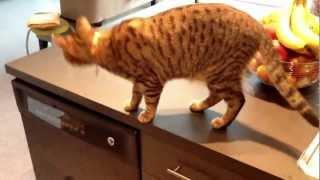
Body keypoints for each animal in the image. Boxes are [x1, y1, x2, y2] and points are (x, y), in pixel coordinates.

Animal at [52, 3, 318, 129]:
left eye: (66, 53)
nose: (63, 59)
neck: (106, 44)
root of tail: (254, 21)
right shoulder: (139, 80)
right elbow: (135, 94)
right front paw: (131, 106)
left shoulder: (151, 80)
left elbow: (150, 102)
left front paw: (146, 115)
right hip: (214, 75)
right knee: (217, 97)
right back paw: (199, 106)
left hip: (220, 73)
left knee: (237, 100)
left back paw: (222, 123)